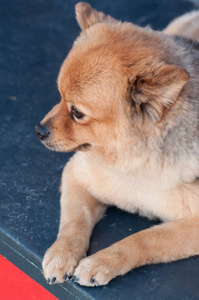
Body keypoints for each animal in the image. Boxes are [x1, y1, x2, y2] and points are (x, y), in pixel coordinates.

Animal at [35, 3, 199, 288]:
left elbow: (144, 239)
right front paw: (61, 254)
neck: (135, 164)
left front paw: (102, 262)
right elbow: (73, 221)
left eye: (77, 113)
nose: (39, 130)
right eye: (60, 96)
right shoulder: (77, 176)